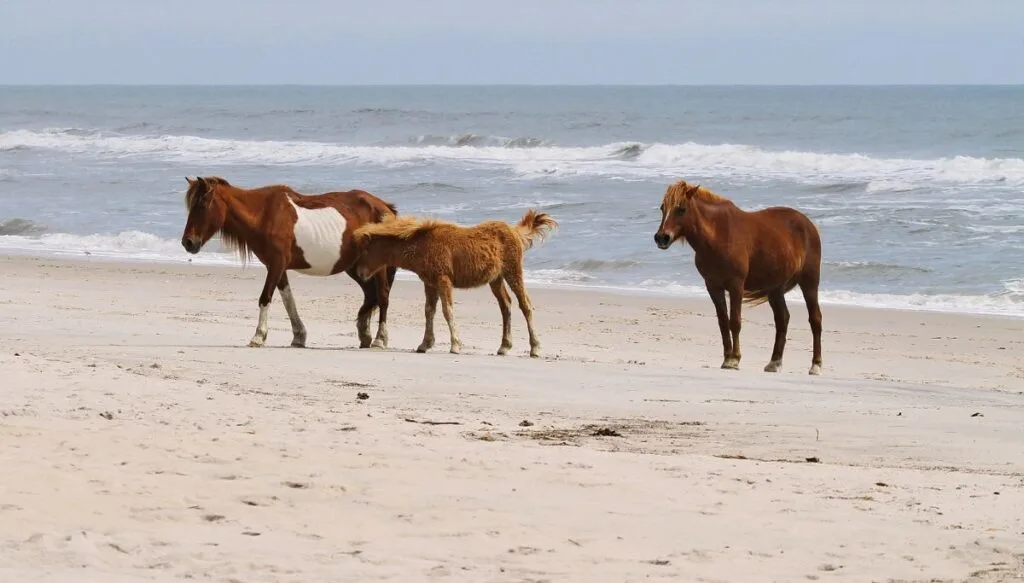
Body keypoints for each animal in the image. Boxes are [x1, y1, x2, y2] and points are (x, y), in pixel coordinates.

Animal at [180, 176, 398, 349]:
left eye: (202, 205)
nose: (188, 242)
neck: (263, 215)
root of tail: (384, 207)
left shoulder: (277, 264)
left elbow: (265, 298)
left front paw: (258, 336)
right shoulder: (277, 266)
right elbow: (288, 300)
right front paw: (299, 336)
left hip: (377, 266)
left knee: (382, 295)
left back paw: (380, 339)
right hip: (355, 266)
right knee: (370, 295)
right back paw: (365, 335)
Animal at [352, 210, 558, 358]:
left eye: (366, 251)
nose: (360, 273)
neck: (423, 245)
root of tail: (514, 231)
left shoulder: (443, 280)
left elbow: (447, 311)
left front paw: (455, 345)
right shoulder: (429, 283)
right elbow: (429, 311)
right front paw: (424, 344)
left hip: (513, 272)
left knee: (525, 305)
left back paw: (535, 348)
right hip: (496, 279)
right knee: (505, 305)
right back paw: (504, 347)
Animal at [653, 180, 823, 375]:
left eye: (681, 209)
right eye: (662, 208)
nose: (661, 238)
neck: (718, 236)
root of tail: (809, 224)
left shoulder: (736, 286)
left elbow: (734, 321)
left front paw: (734, 360)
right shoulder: (713, 286)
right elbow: (723, 322)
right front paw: (727, 357)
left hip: (809, 282)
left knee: (815, 319)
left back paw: (816, 365)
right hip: (775, 289)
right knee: (782, 319)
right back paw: (774, 362)